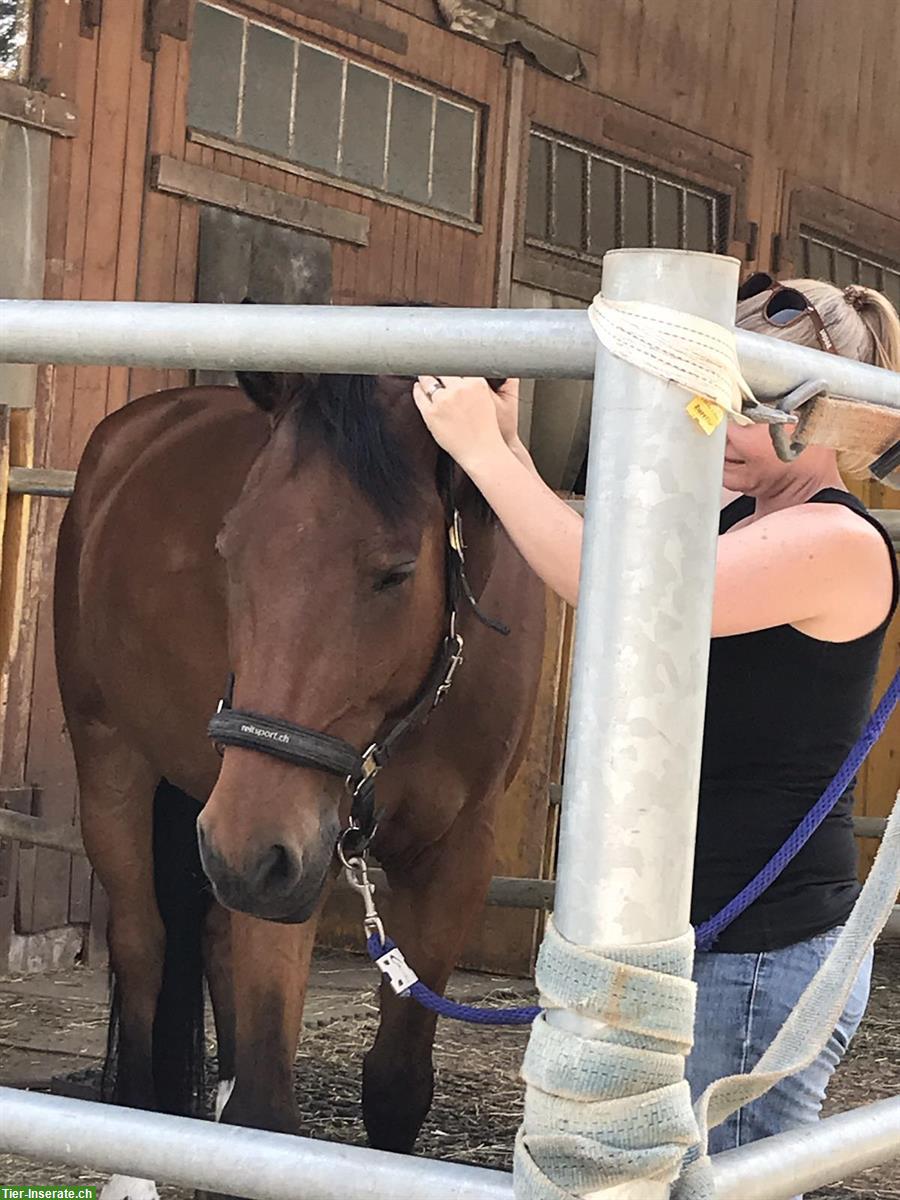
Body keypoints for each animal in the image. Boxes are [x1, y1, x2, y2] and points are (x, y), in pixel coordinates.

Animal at [58, 360, 549, 1195]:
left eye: (396, 572)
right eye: (230, 551)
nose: (246, 851)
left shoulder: (451, 861)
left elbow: (395, 1086)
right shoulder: (287, 854)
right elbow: (267, 1111)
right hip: (120, 768)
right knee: (143, 945)